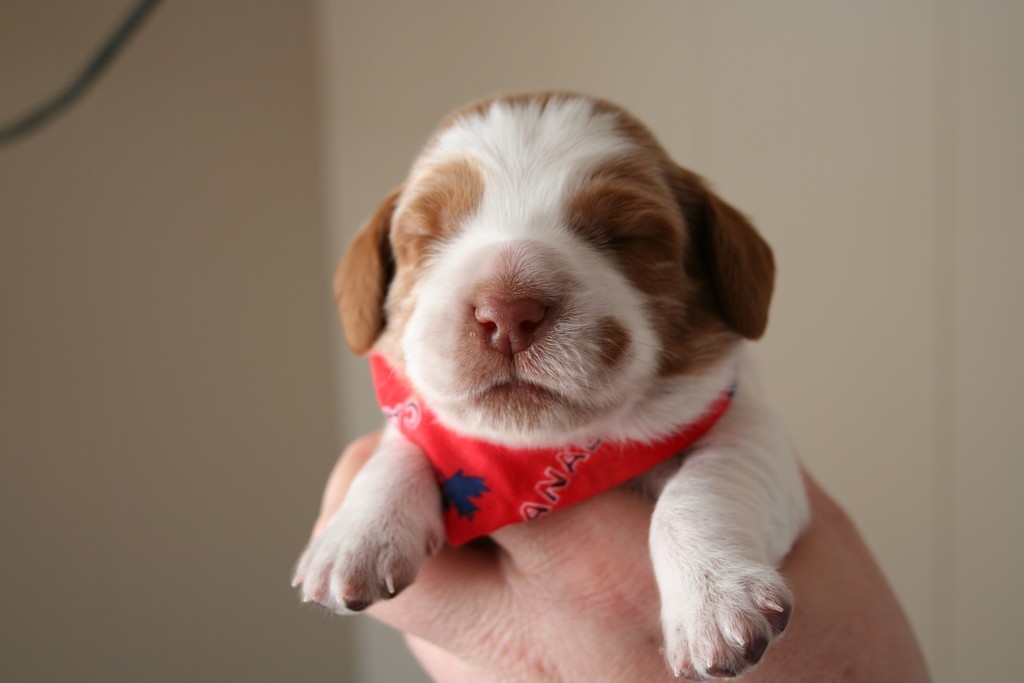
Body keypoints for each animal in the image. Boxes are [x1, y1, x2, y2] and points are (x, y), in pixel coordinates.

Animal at [293, 92, 809, 680]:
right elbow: (404, 442)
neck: (540, 460)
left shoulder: (747, 421)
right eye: (426, 236)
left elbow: (706, 484)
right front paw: (357, 533)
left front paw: (716, 599)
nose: (507, 311)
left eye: (627, 236)